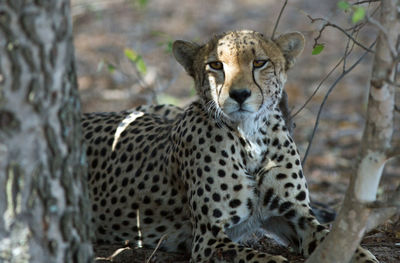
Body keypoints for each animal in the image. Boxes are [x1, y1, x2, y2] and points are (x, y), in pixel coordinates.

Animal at [82, 29, 378, 262]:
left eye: (259, 62)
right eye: (215, 65)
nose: (239, 94)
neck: (250, 136)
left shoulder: (295, 215)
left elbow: (345, 244)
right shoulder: (208, 238)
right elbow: (260, 258)